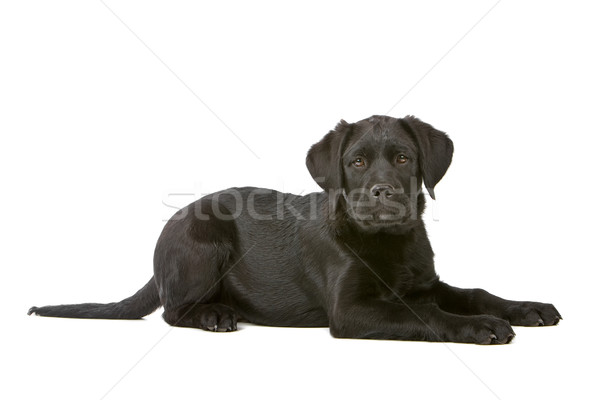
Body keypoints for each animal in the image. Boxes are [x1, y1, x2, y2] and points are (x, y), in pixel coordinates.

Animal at [29, 114, 564, 342]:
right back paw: (214, 314)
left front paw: (525, 308)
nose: (382, 192)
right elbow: (426, 314)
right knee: (172, 310)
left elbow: (472, 292)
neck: (389, 243)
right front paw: (479, 325)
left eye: (404, 159)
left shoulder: (425, 282)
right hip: (205, 241)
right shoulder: (351, 311)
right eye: (357, 162)